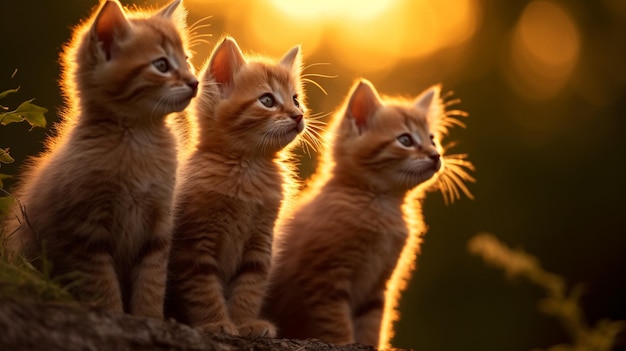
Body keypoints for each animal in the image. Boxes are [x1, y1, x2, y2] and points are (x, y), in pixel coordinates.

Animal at [2, 0, 196, 320]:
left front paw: (149, 317)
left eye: (187, 60)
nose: (195, 82)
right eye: (162, 65)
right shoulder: (85, 232)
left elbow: (152, 282)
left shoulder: (158, 229)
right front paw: (114, 314)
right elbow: (102, 285)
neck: (138, 138)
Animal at [163, 37, 304, 338]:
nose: (299, 115)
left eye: (296, 99)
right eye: (267, 100)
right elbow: (202, 289)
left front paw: (245, 322)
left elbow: (249, 288)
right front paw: (217, 322)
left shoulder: (260, 245)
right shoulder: (194, 245)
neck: (247, 169)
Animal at [264, 79, 472, 350]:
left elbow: (373, 325)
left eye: (432, 139)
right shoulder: (324, 280)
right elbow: (336, 324)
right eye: (406, 140)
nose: (436, 155)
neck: (382, 206)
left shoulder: (377, 288)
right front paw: (343, 341)